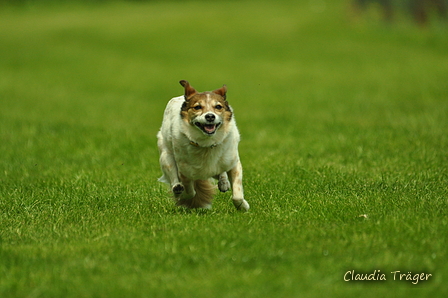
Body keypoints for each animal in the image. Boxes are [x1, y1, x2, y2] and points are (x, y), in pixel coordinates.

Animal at [157, 80, 248, 211]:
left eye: (218, 106)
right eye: (197, 107)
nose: (210, 116)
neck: (207, 144)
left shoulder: (233, 162)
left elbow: (237, 194)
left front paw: (243, 207)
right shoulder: (184, 170)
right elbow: (190, 192)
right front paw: (182, 195)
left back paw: (223, 182)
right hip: (165, 155)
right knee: (172, 173)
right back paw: (177, 188)